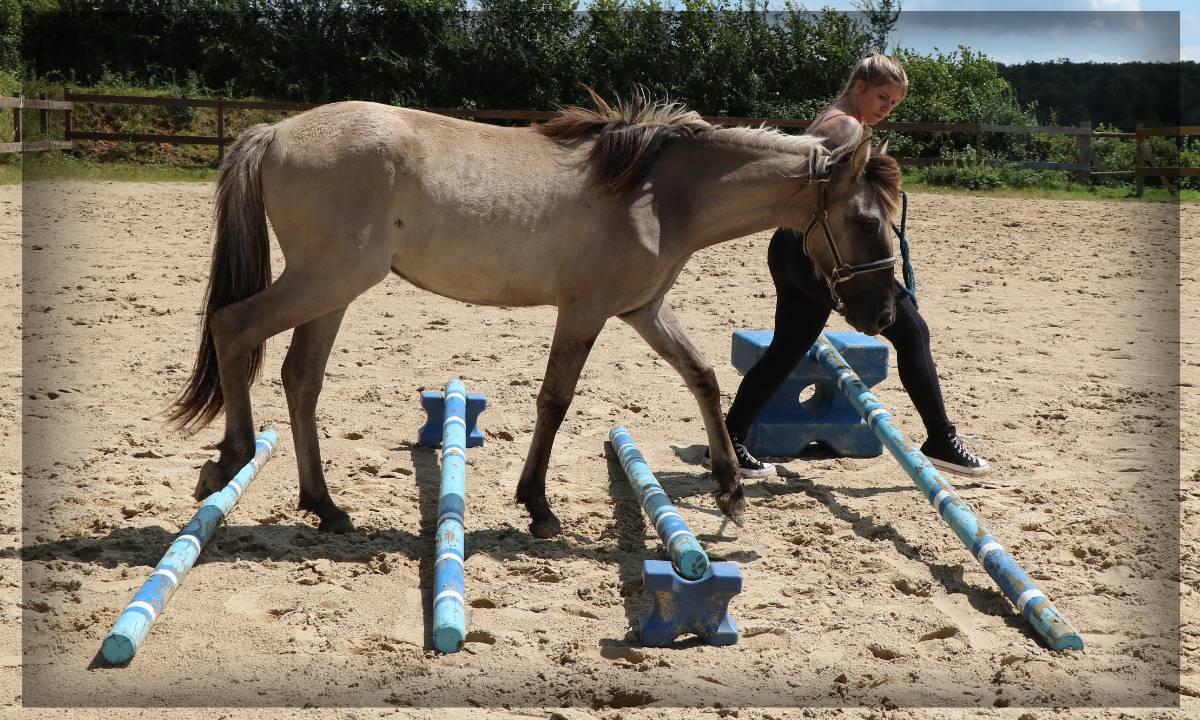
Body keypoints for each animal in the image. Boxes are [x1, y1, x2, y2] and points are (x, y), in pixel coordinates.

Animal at [167, 91, 902, 538]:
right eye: (865, 221)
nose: (886, 310)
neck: (659, 194)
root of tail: (273, 131)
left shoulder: (641, 310)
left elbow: (702, 376)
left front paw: (728, 489)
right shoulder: (585, 311)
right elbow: (555, 399)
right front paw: (539, 506)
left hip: (334, 291)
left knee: (300, 378)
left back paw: (324, 506)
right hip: (327, 280)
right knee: (233, 327)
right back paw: (229, 462)